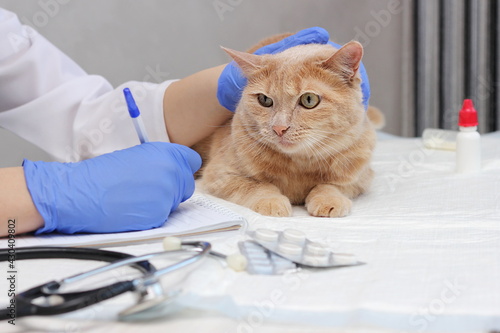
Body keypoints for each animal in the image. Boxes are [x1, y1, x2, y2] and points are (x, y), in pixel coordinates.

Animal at [194, 35, 378, 217]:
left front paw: (329, 199)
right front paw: (271, 201)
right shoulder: (218, 174)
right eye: (264, 100)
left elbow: (331, 185)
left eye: (309, 99)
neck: (299, 165)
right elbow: (256, 185)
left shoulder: (360, 178)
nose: (279, 128)